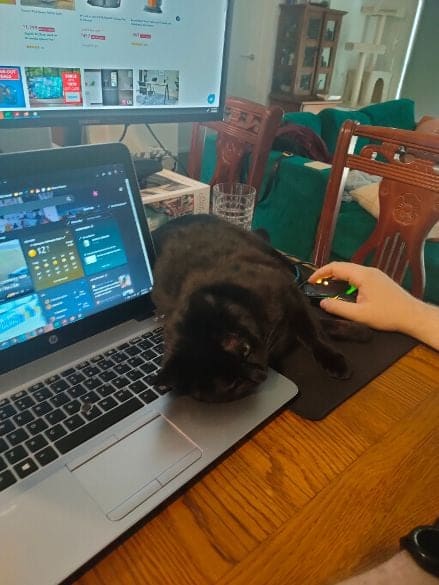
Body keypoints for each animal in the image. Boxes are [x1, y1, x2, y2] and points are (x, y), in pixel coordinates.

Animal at [151, 214, 351, 402]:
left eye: (245, 349)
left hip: (265, 248)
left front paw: (334, 360)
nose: (262, 376)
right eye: (232, 384)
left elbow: (312, 329)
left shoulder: (287, 289)